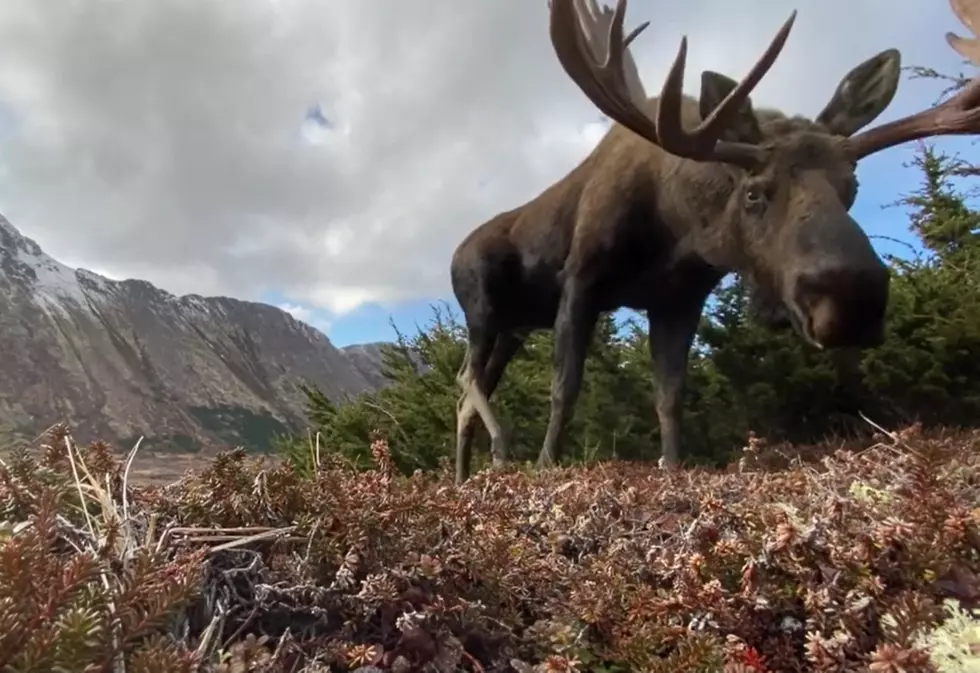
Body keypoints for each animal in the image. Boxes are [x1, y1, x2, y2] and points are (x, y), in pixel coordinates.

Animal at [448, 0, 980, 484]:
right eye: (753, 192)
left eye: (852, 186)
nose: (852, 295)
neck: (677, 230)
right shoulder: (581, 276)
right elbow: (565, 383)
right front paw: (546, 466)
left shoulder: (679, 298)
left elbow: (670, 394)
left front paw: (672, 466)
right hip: (481, 307)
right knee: (466, 378)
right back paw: (499, 451)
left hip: (514, 328)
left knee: (468, 391)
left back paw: (463, 475)